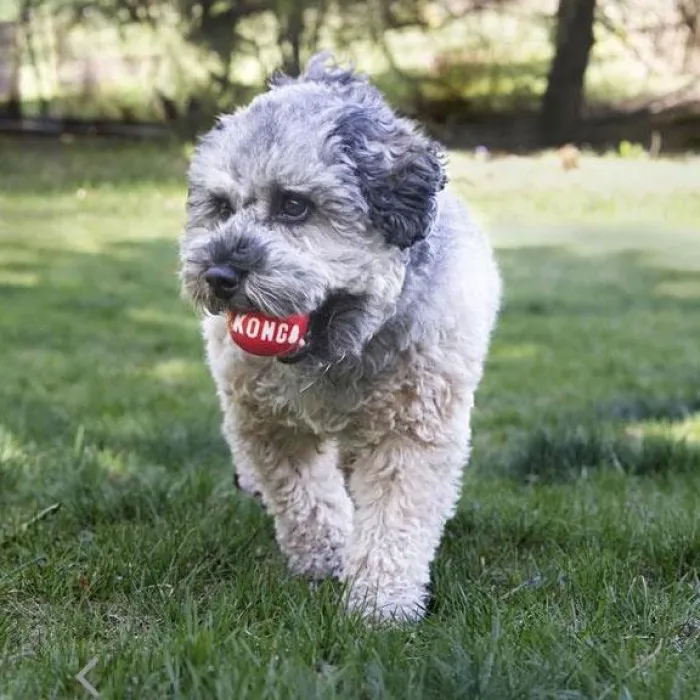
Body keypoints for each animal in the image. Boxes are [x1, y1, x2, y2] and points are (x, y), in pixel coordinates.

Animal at [178, 54, 500, 624]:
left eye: (295, 205)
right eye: (220, 206)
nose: (218, 274)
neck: (337, 354)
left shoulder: (411, 430)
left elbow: (395, 518)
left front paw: (379, 603)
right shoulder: (267, 424)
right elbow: (303, 496)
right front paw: (327, 557)